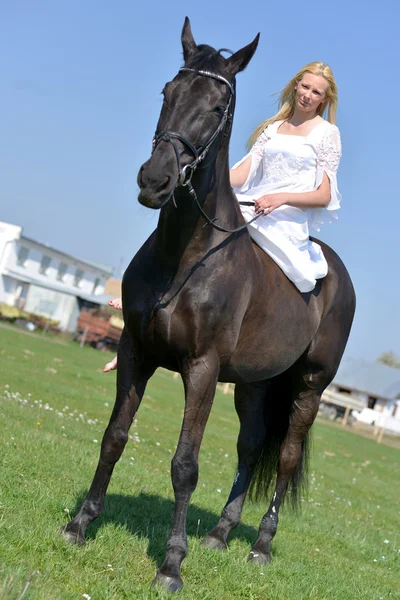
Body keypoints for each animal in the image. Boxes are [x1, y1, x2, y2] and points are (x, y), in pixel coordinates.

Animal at [62, 17, 356, 592]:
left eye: (218, 107)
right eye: (167, 93)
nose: (155, 180)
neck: (186, 257)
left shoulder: (201, 368)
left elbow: (185, 465)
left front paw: (171, 565)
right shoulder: (135, 352)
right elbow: (114, 436)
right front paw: (81, 524)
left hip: (309, 387)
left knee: (286, 457)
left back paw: (260, 546)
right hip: (254, 384)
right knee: (252, 445)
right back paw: (220, 534)